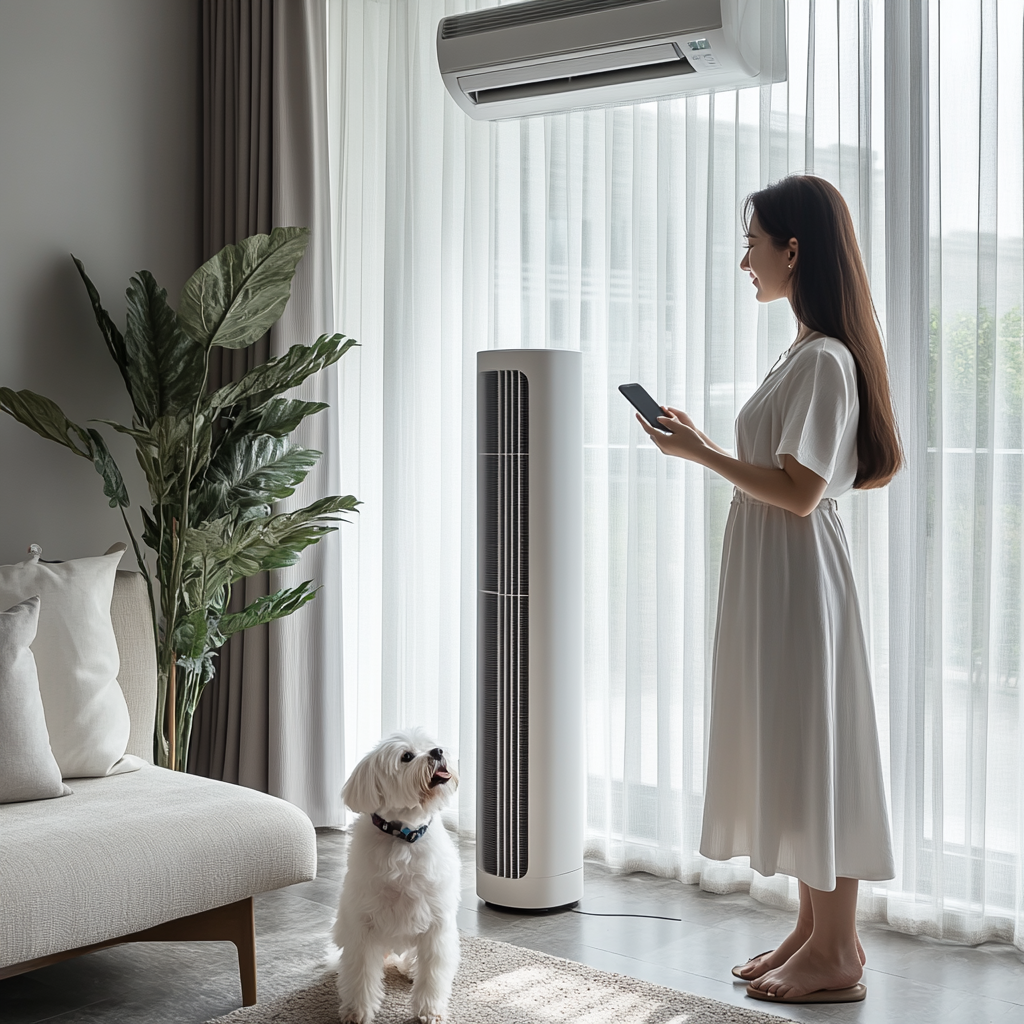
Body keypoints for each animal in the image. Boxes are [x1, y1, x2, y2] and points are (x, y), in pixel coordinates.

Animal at [331, 729, 460, 1024]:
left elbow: (432, 974)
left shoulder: (436, 923)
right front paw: (356, 1011)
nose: (438, 751)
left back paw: (411, 969)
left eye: (430, 745)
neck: (404, 837)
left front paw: (430, 1011)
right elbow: (360, 972)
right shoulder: (363, 924)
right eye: (407, 756)